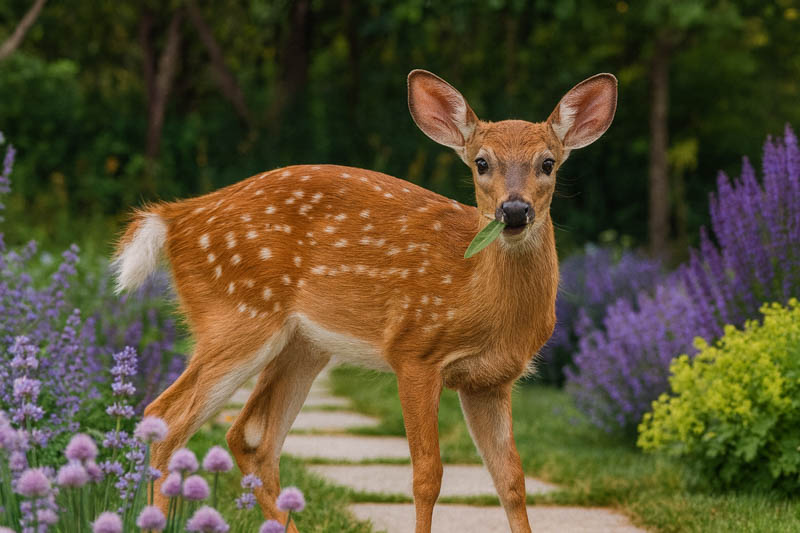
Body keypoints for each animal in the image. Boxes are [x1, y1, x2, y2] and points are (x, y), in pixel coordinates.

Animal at [114, 69, 616, 532]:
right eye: (481, 163)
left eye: (548, 163)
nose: (513, 211)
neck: (478, 299)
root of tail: (174, 217)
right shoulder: (415, 350)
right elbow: (427, 475)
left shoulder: (489, 381)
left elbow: (511, 479)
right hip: (236, 316)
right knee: (165, 417)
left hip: (302, 345)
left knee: (251, 437)